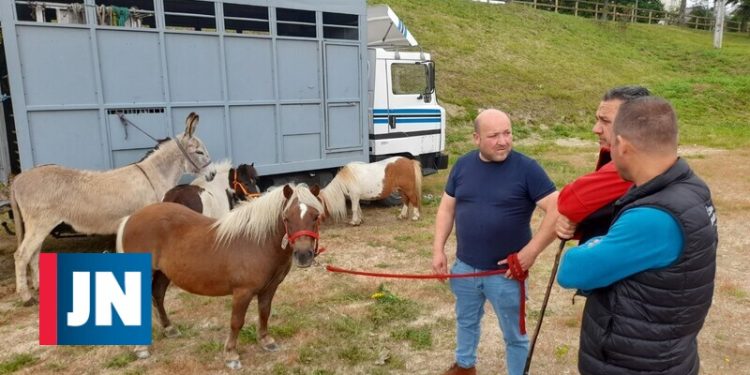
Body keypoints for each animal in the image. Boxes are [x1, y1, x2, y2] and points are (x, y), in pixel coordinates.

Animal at [11, 112, 212, 306]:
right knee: (22, 255)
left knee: (33, 255)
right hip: (40, 223)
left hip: (40, 225)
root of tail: (18, 179)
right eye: (199, 151)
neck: (155, 175)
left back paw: (38, 287)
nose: (212, 174)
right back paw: (26, 297)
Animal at [118, 185, 326, 370]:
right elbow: (236, 322)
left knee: (158, 296)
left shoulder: (269, 288)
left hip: (163, 273)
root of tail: (131, 218)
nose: (303, 255)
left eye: (315, 216)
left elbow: (264, 312)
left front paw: (266, 341)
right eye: (286, 218)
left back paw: (169, 329)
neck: (257, 242)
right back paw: (141, 348)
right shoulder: (242, 292)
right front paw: (231, 355)